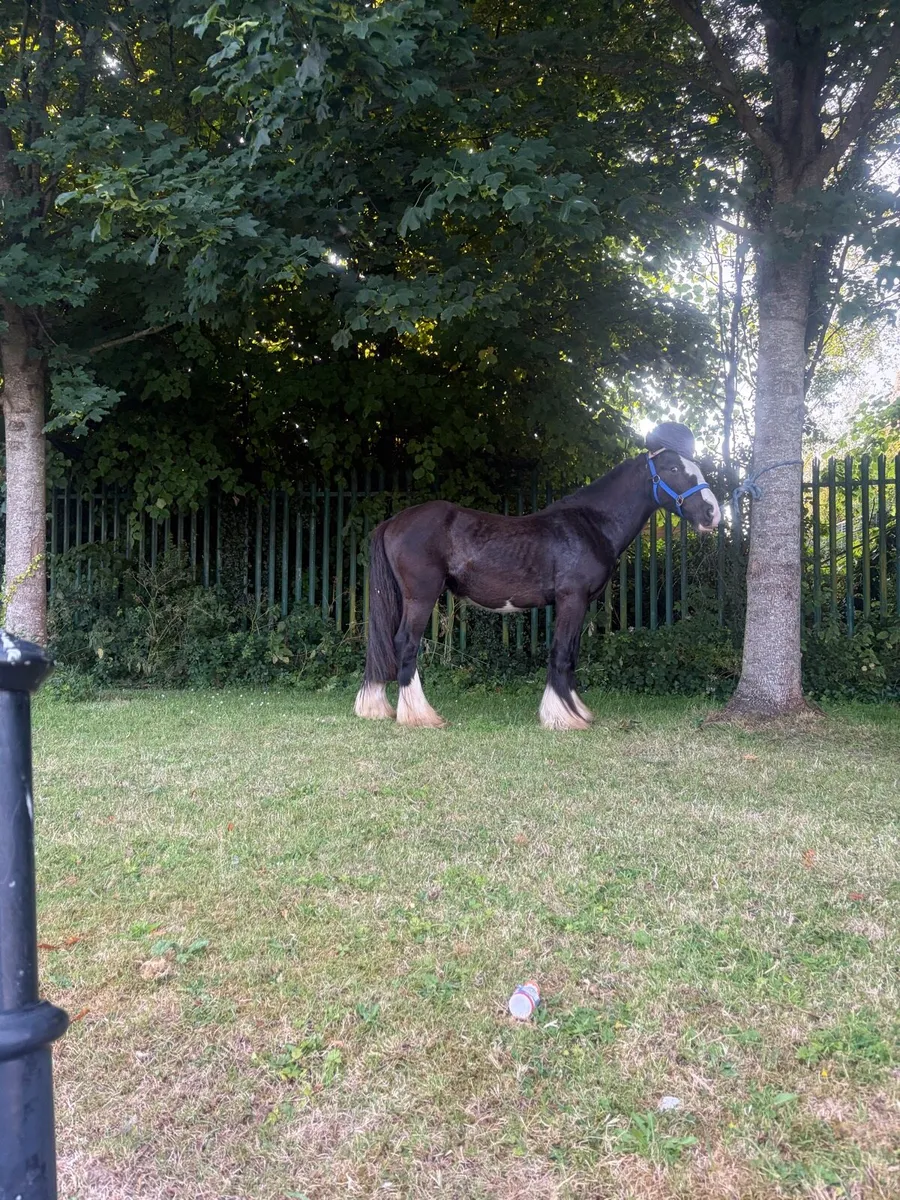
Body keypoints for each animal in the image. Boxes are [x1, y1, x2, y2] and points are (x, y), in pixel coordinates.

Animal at [354, 423, 722, 730]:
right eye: (673, 468)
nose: (712, 513)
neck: (590, 523)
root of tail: (395, 521)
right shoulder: (571, 599)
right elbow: (561, 652)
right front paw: (563, 717)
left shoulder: (579, 604)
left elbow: (571, 653)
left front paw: (576, 710)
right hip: (421, 596)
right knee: (406, 643)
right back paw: (419, 715)